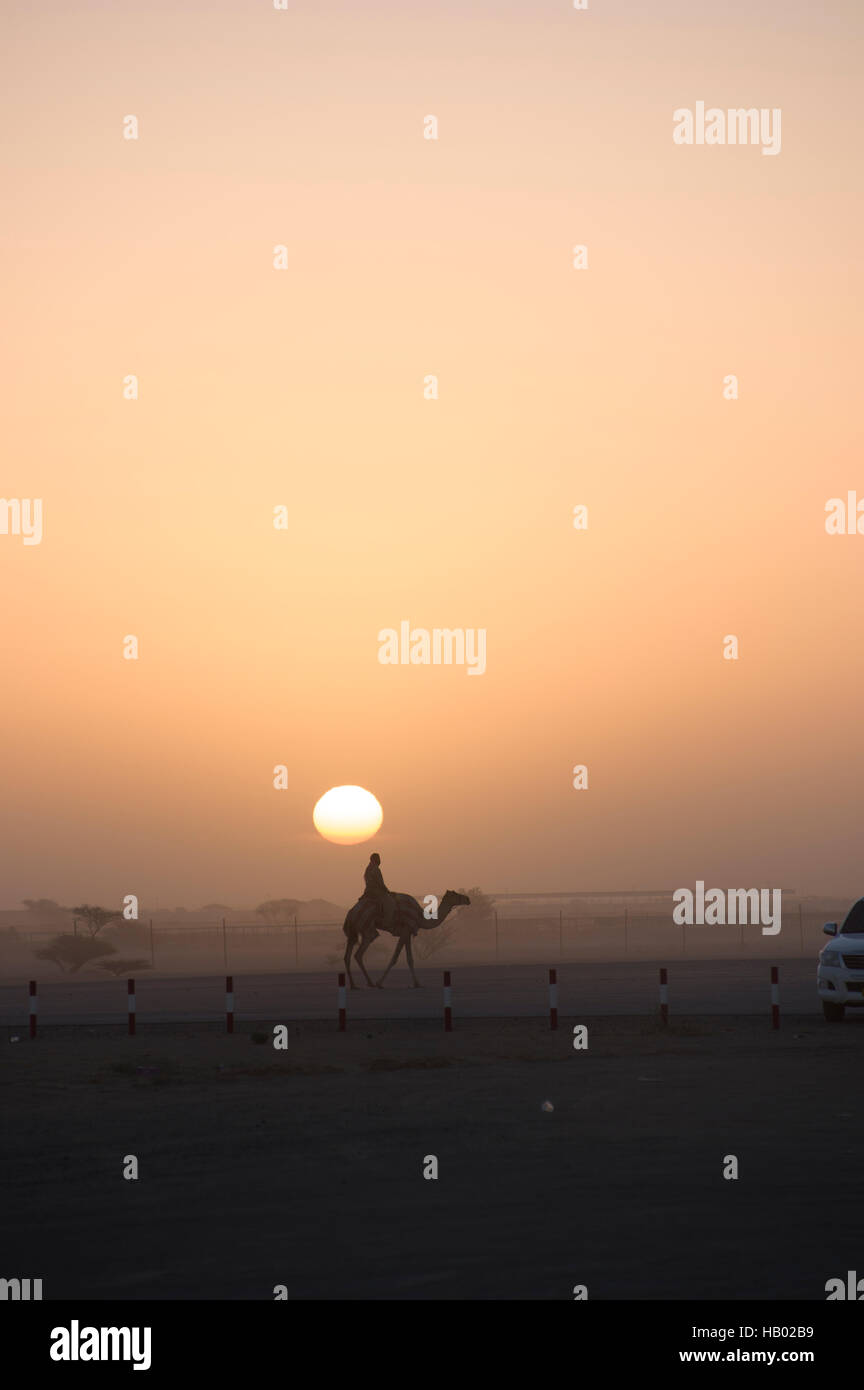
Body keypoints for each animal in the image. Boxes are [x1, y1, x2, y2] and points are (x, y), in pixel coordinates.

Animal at [341, 889, 469, 989]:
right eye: (456, 894)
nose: (467, 899)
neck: (420, 917)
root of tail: (350, 913)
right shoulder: (406, 931)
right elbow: (398, 958)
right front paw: (380, 983)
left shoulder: (406, 933)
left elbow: (406, 959)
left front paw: (416, 983)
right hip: (367, 929)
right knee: (358, 954)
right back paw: (370, 983)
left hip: (353, 931)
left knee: (347, 956)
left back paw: (354, 985)